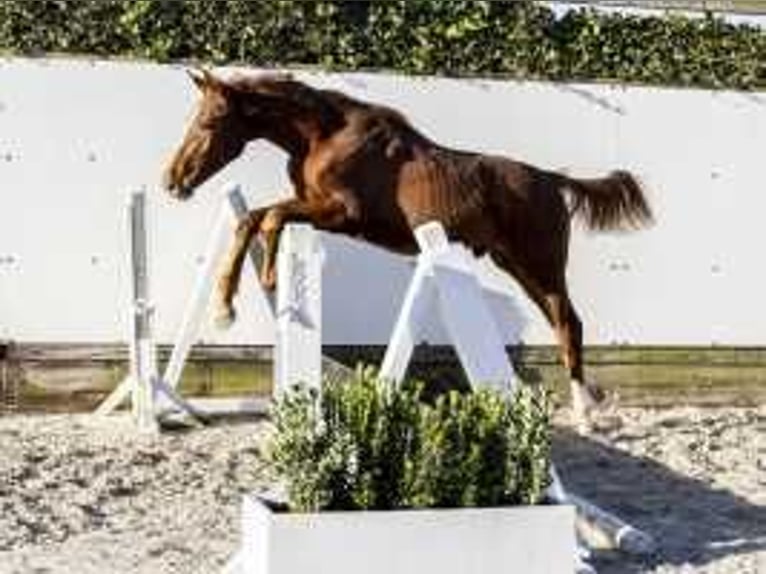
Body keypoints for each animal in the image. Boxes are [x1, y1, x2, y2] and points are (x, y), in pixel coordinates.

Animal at [164, 71, 656, 432]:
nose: (172, 181)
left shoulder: (342, 214)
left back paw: (585, 416)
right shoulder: (314, 208)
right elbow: (253, 218)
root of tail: (554, 180)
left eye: (208, 123)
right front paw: (225, 308)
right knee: (561, 321)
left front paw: (267, 281)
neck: (321, 135)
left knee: (569, 323)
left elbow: (269, 219)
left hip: (541, 263)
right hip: (516, 264)